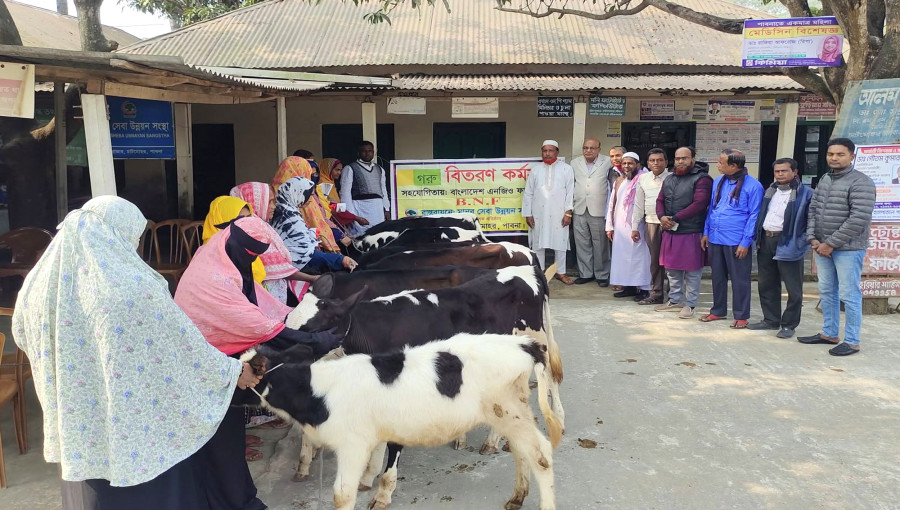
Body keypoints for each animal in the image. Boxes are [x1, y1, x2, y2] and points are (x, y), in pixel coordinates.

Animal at [239, 332, 564, 510]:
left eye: (244, 373)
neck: (318, 392)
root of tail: (524, 344)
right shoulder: (374, 434)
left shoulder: (352, 444)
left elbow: (342, 495)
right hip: (511, 411)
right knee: (522, 452)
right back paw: (517, 497)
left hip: (506, 409)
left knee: (541, 454)